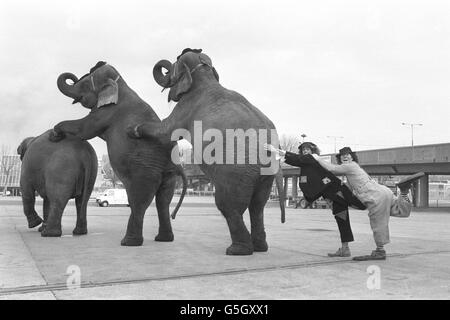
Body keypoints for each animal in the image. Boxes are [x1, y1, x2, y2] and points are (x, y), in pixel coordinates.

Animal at [51, 61, 187, 246]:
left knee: (139, 201)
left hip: (145, 172)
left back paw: (128, 242)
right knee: (163, 201)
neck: (121, 84)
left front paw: (54, 135)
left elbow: (85, 129)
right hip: (168, 175)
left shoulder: (107, 112)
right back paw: (163, 239)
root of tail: (176, 163)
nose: (73, 77)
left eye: (85, 84)